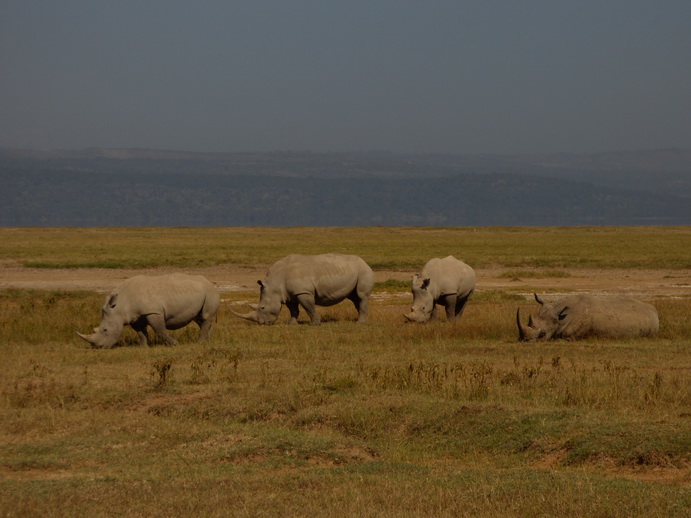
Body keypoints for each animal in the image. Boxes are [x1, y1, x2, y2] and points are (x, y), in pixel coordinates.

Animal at [77, 272, 220, 350]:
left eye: (105, 330)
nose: (98, 347)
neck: (120, 304)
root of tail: (209, 282)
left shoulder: (153, 312)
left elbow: (160, 330)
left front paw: (174, 344)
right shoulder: (134, 317)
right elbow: (141, 332)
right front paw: (144, 347)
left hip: (209, 292)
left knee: (205, 317)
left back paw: (199, 343)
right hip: (200, 292)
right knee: (200, 319)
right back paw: (207, 342)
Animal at [231, 255, 374, 328]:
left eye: (262, 307)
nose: (262, 324)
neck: (274, 283)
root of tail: (365, 261)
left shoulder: (303, 292)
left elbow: (309, 308)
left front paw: (315, 324)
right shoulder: (289, 294)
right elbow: (294, 310)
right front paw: (291, 324)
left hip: (363, 271)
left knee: (361, 296)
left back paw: (359, 323)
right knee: (354, 298)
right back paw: (359, 319)